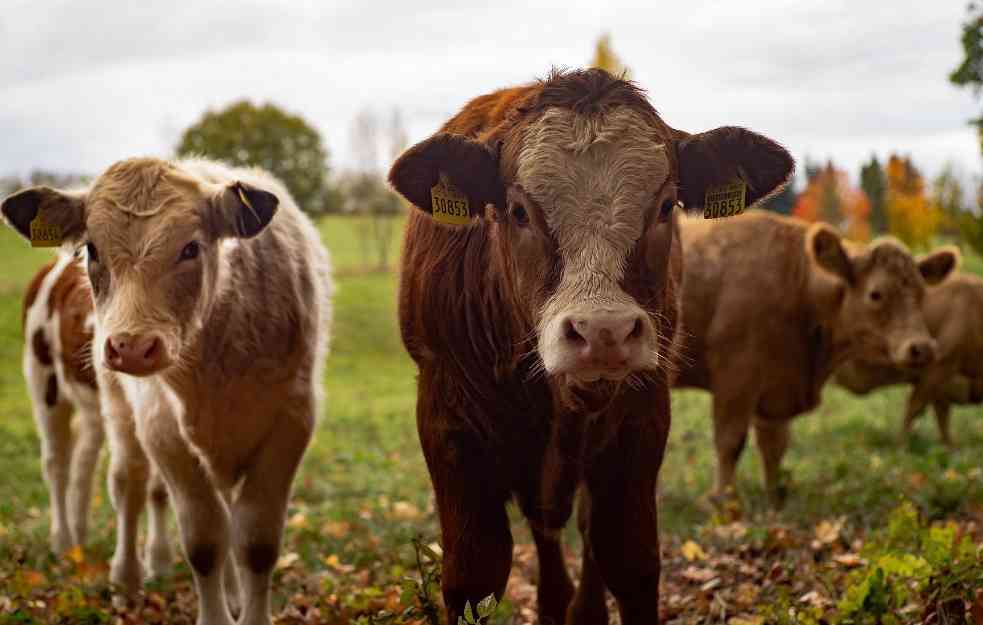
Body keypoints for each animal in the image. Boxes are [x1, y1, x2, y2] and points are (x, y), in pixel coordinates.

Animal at [1, 157, 334, 625]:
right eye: (92, 250)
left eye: (191, 248)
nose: (131, 347)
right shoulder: (162, 427)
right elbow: (205, 540)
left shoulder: (291, 422)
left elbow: (255, 541)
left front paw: (241, 604)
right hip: (57, 389)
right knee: (94, 474)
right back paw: (94, 558)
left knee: (95, 467)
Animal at [388, 68, 796, 624]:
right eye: (518, 210)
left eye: (665, 206)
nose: (604, 331)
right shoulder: (447, 421)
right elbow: (473, 575)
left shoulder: (641, 418)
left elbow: (629, 560)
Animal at [672, 210, 956, 508]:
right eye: (876, 294)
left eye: (921, 294)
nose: (922, 347)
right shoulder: (735, 378)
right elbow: (730, 442)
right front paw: (724, 504)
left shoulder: (777, 388)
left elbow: (774, 447)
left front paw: (774, 503)